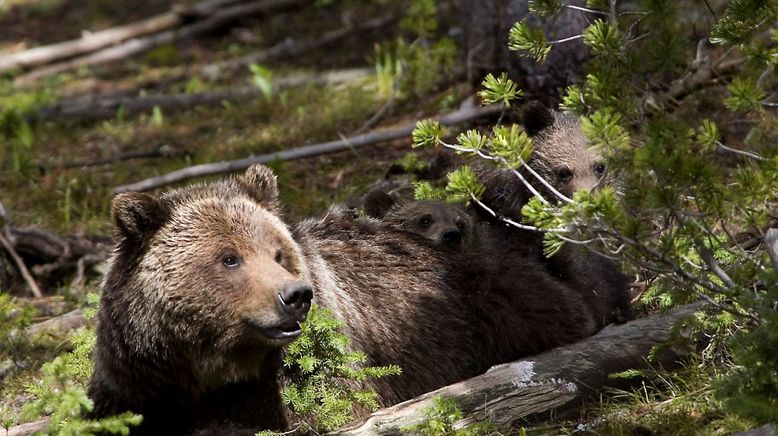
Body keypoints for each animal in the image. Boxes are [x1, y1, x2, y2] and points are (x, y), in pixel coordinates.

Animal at [92, 165, 600, 434]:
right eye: (229, 258)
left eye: (278, 253)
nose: (295, 296)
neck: (209, 367)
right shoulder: (139, 377)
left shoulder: (319, 366)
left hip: (485, 299)